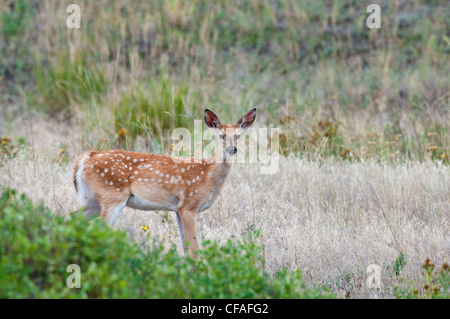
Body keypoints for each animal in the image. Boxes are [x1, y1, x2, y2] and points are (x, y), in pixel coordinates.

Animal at [74, 109, 256, 258]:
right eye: (221, 135)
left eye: (238, 135)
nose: (232, 149)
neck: (208, 175)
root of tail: (84, 159)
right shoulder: (189, 205)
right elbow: (194, 248)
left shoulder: (177, 209)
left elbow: (185, 247)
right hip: (111, 197)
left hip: (92, 200)